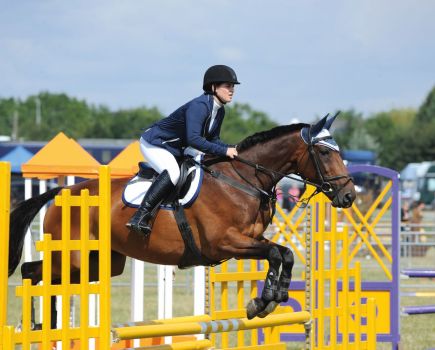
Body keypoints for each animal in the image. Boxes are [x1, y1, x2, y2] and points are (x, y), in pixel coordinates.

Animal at [7, 114, 354, 320]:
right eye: (325, 153)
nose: (349, 196)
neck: (243, 179)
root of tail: (62, 192)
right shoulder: (225, 243)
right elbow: (275, 253)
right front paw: (265, 299)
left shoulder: (250, 239)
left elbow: (284, 252)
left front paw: (272, 297)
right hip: (74, 258)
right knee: (33, 273)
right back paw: (37, 325)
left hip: (100, 262)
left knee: (41, 275)